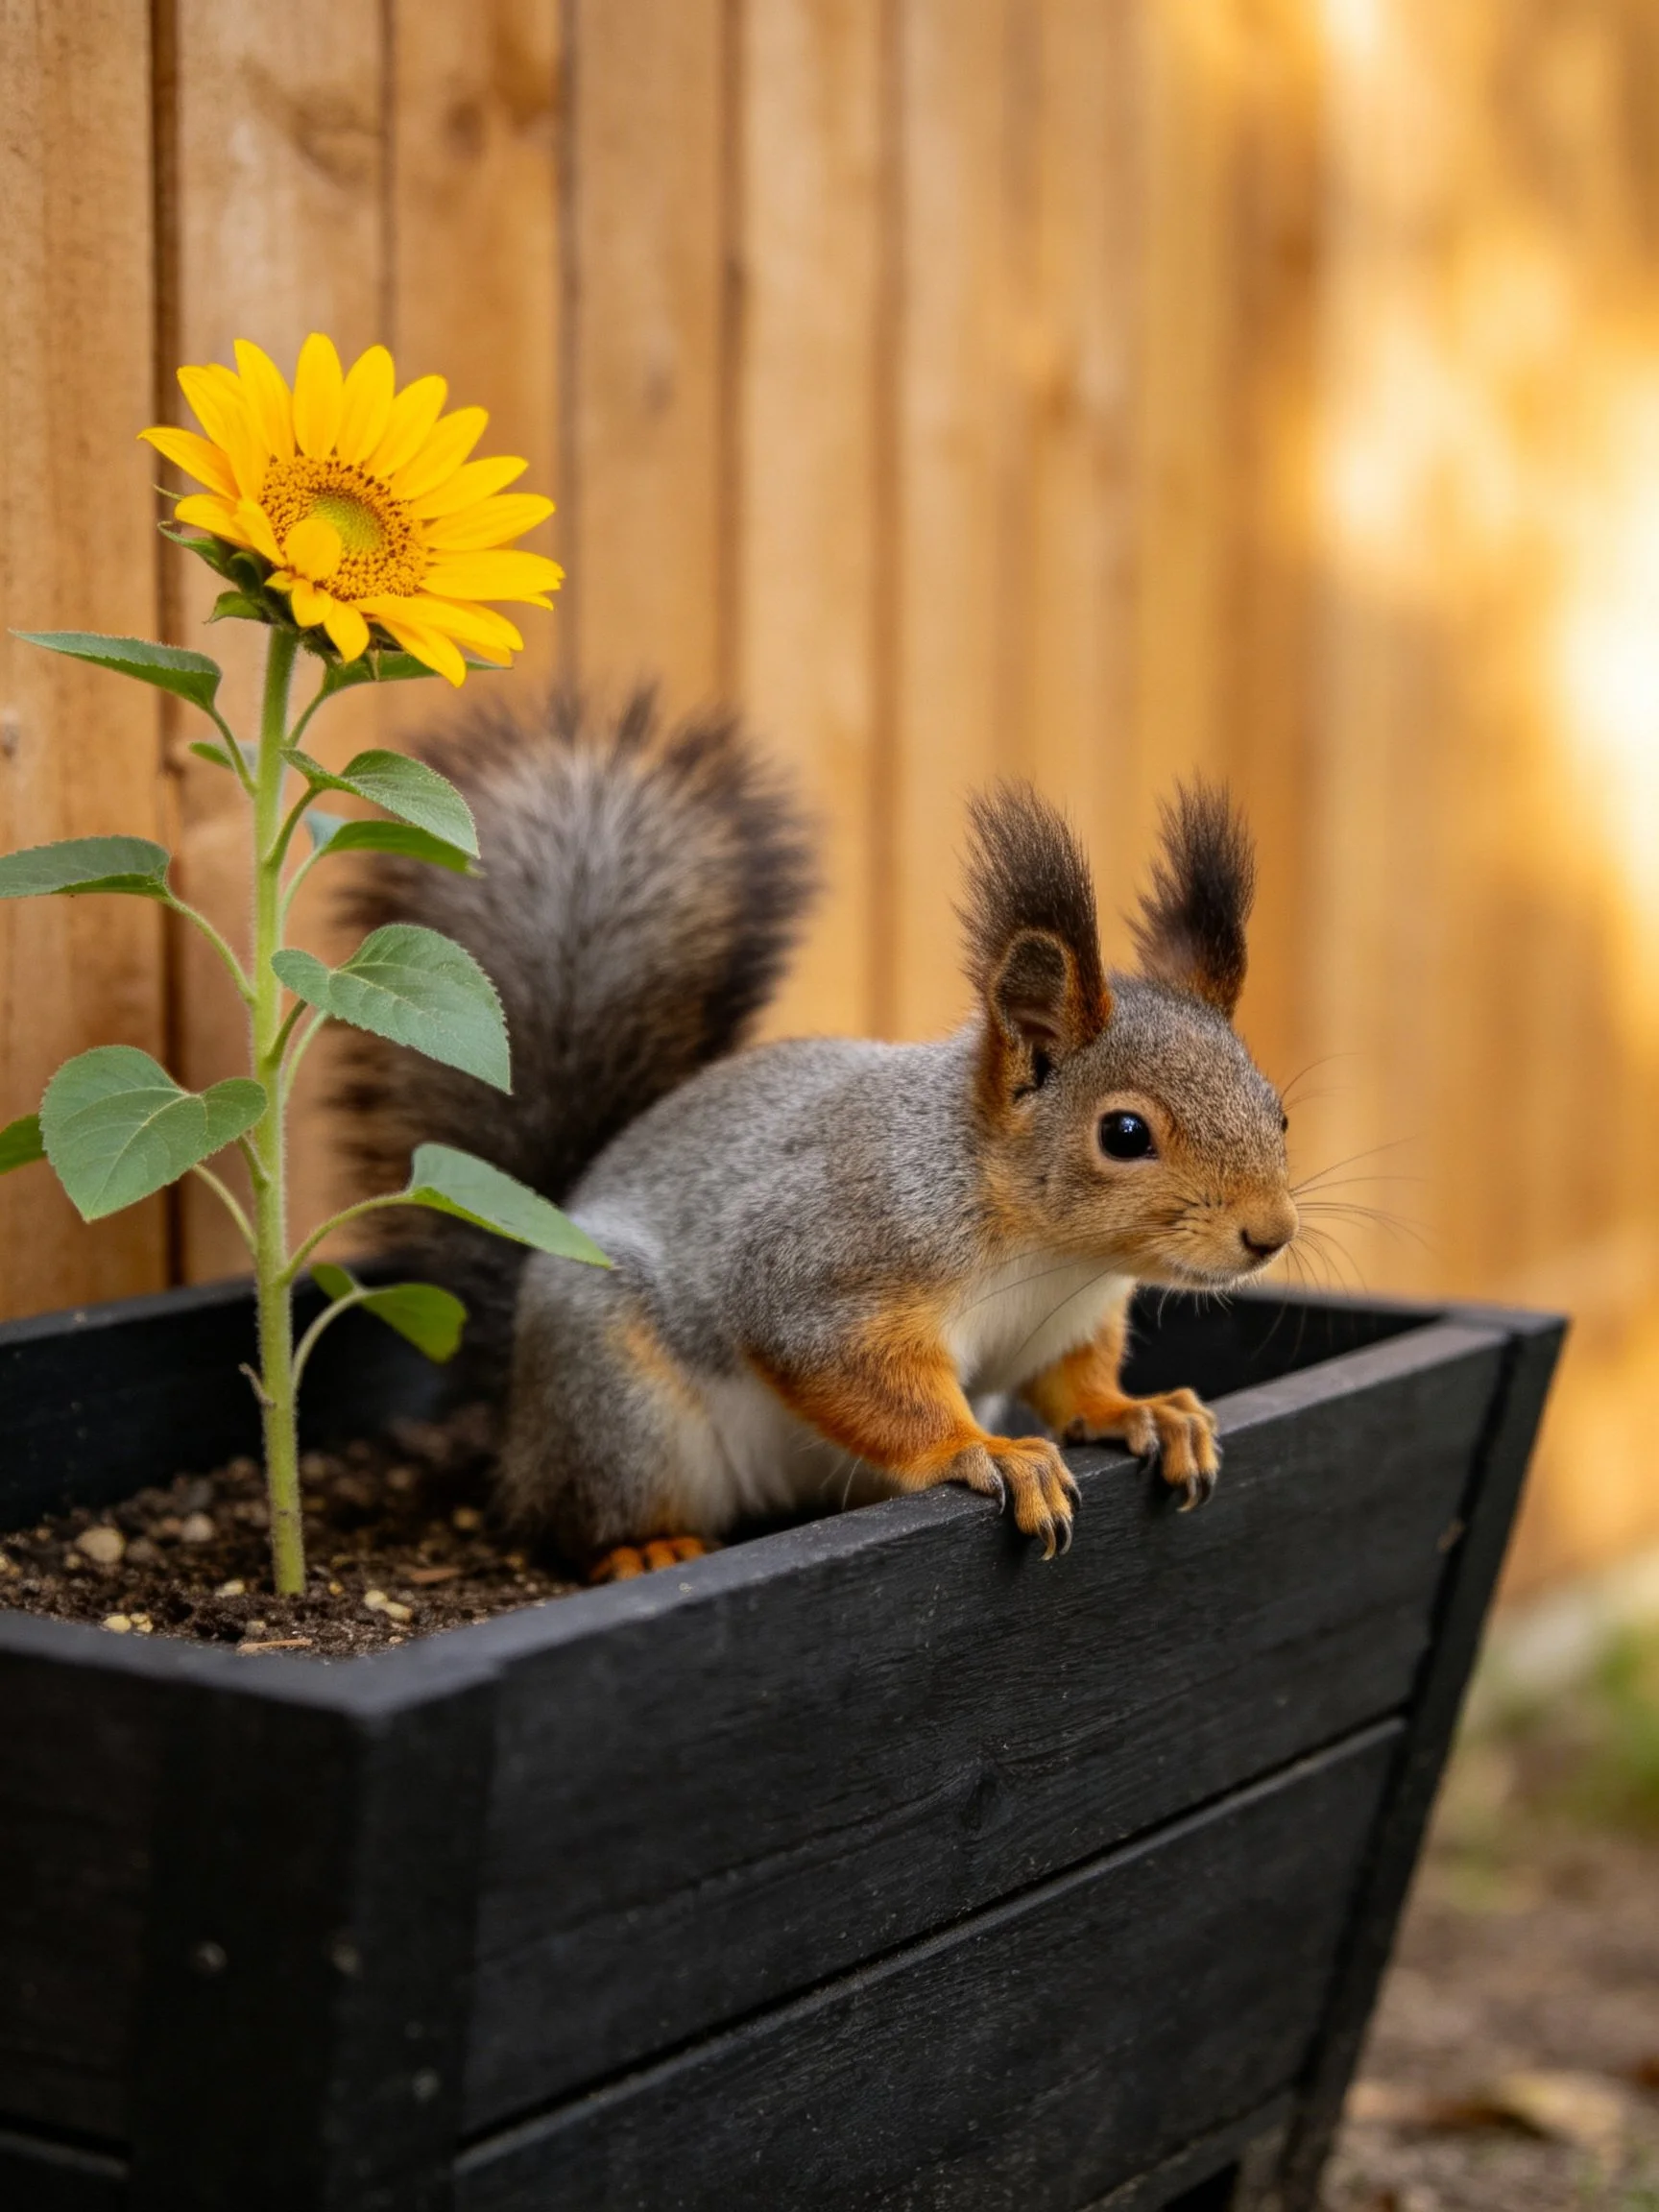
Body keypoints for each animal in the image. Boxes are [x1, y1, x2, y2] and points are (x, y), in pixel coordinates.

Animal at [344, 688, 1299, 1577]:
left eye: (1279, 1111)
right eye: (1126, 1133)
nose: (1272, 1234)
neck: (1049, 1250)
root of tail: (517, 1417)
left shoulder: (1065, 1322)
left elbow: (1074, 1382)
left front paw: (1140, 1410)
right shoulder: (827, 1264)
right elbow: (852, 1370)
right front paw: (986, 1453)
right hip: (616, 1405)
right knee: (585, 1514)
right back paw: (646, 1549)